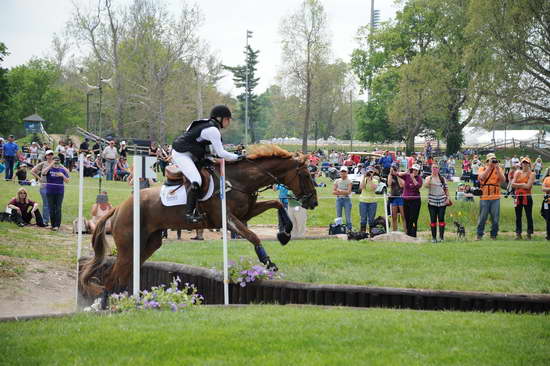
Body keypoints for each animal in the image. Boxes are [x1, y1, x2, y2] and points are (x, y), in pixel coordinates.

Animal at [78, 144, 320, 298]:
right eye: (306, 175)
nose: (314, 202)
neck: (238, 181)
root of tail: (119, 207)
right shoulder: (227, 219)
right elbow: (253, 236)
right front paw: (268, 263)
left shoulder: (246, 213)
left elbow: (277, 204)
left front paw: (285, 233)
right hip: (129, 246)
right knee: (111, 278)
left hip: (148, 244)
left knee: (121, 276)